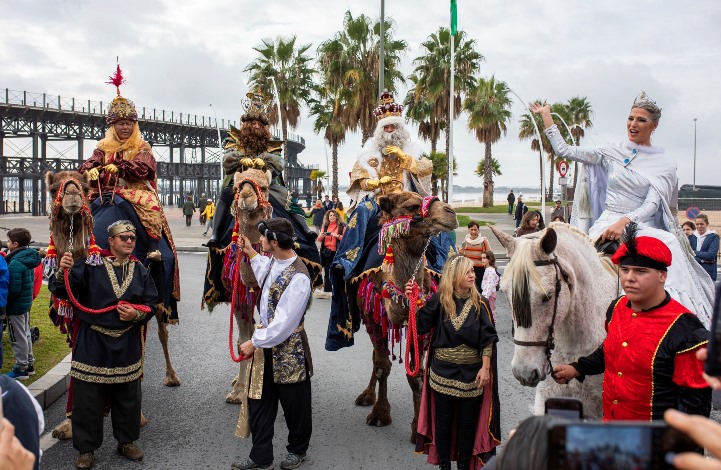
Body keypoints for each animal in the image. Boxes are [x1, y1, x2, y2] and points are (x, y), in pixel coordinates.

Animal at [348, 191, 456, 440]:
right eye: (412, 206)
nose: (451, 212)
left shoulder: (422, 319)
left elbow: (416, 375)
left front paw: (420, 430)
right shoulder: (372, 315)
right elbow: (382, 366)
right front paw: (380, 415)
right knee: (376, 357)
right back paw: (367, 396)